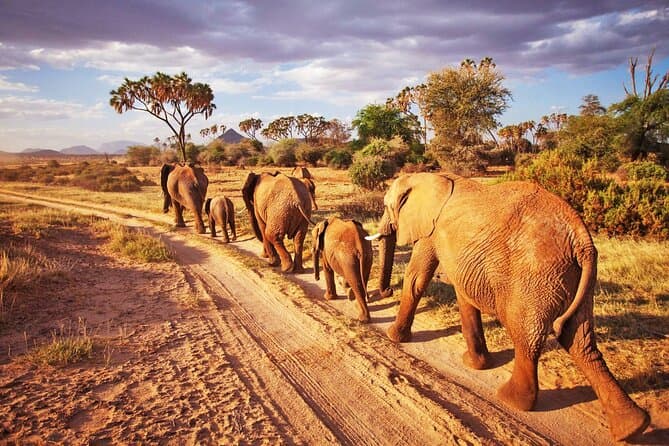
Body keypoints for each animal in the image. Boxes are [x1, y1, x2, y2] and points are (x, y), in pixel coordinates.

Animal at [368, 171, 649, 442]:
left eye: (386, 206)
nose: (385, 292)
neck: (426, 176)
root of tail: (582, 240)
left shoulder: (431, 232)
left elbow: (416, 278)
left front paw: (393, 337)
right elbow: (464, 295)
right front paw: (475, 364)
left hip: (534, 276)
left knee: (526, 335)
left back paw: (511, 400)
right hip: (575, 277)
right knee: (578, 337)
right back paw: (632, 428)